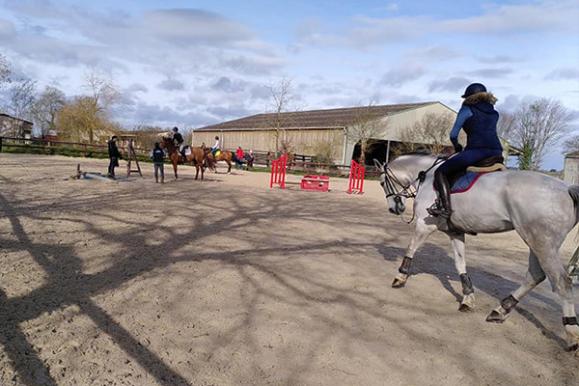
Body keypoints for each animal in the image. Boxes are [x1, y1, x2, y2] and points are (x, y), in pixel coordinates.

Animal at [376, 153, 579, 352]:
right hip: (535, 242)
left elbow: (411, 248)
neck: (427, 174)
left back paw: (572, 333)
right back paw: (500, 310)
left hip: (542, 243)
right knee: (535, 276)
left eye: (382, 182)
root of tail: (567, 188)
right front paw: (467, 298)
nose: (394, 209)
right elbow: (460, 264)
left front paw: (400, 277)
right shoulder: (455, 232)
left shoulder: (424, 225)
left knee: (561, 282)